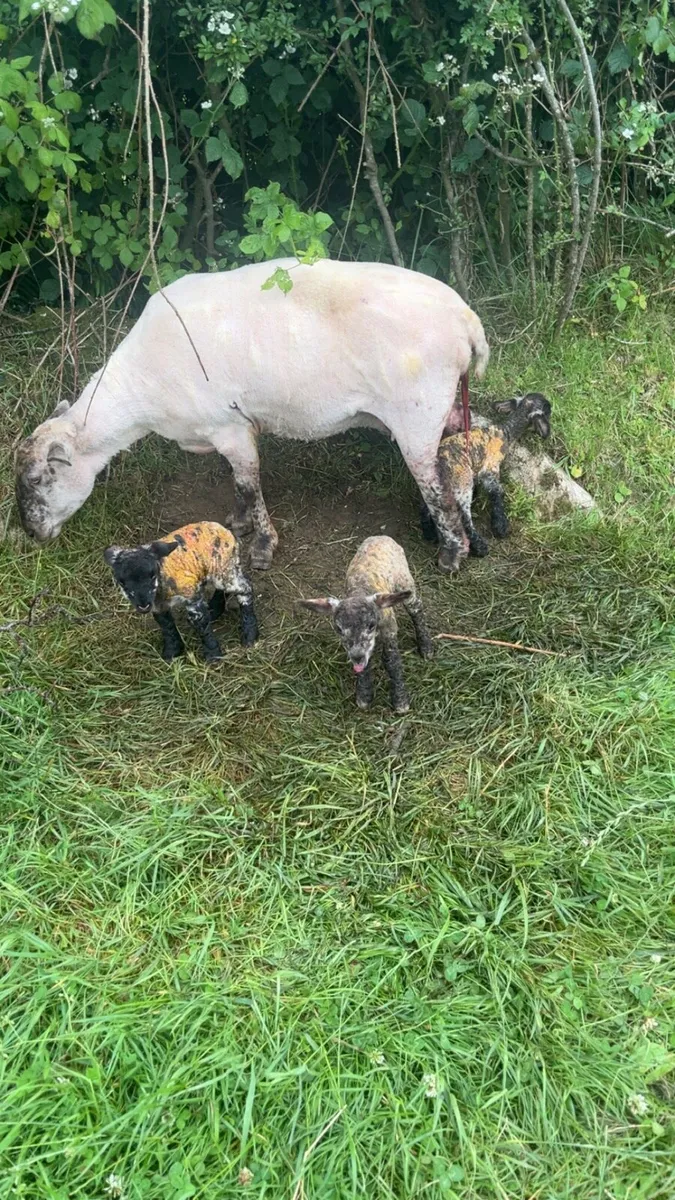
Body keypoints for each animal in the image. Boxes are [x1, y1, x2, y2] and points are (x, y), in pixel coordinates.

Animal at [16, 258, 488, 573]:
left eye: (38, 479)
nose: (32, 534)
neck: (137, 390)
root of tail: (467, 321)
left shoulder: (229, 428)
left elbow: (249, 482)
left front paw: (262, 545)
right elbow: (240, 485)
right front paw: (239, 521)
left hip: (417, 414)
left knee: (438, 485)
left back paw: (452, 552)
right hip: (442, 405)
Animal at [103, 520, 259, 663]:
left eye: (152, 575)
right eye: (121, 582)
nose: (143, 605)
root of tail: (227, 531)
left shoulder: (192, 597)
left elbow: (202, 624)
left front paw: (213, 655)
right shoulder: (158, 606)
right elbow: (166, 625)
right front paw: (171, 652)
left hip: (223, 567)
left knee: (245, 587)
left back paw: (250, 634)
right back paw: (215, 609)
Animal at [298, 536, 434, 714]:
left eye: (371, 625)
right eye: (339, 629)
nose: (357, 656)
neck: (361, 590)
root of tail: (381, 537)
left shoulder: (389, 629)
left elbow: (392, 661)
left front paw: (400, 699)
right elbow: (364, 665)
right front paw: (364, 693)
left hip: (404, 581)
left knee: (417, 609)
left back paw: (426, 645)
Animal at [420, 393, 552, 557]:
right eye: (548, 409)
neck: (505, 432)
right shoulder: (490, 470)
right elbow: (497, 492)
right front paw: (500, 525)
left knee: (428, 506)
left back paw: (429, 533)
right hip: (462, 483)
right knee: (464, 515)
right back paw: (480, 546)